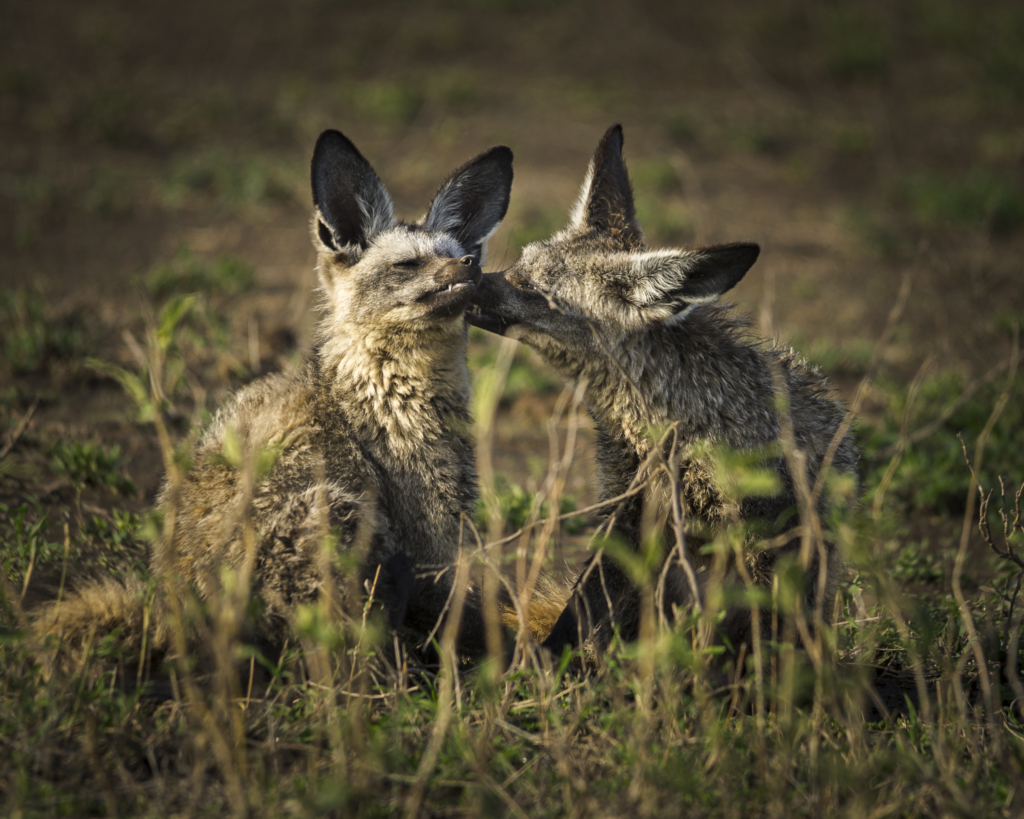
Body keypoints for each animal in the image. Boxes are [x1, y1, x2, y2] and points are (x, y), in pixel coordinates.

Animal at [36, 129, 516, 671]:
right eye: (408, 264)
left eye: (459, 251)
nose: (471, 266)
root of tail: (168, 613)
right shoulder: (428, 537)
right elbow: (458, 612)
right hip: (334, 512)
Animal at [468, 124, 856, 655]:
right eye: (518, 267)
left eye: (535, 290)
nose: (461, 279)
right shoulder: (628, 513)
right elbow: (579, 612)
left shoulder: (762, 546)